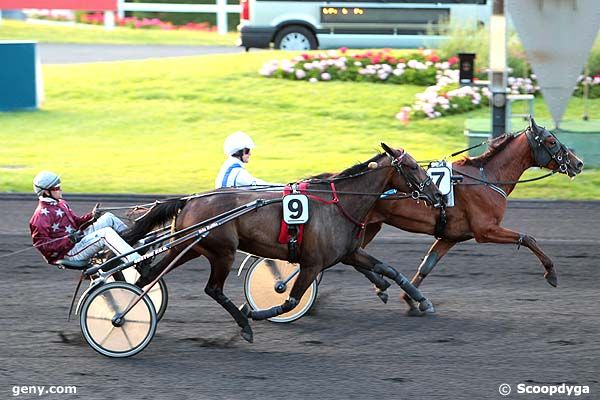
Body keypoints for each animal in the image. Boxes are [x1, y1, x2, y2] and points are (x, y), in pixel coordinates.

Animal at [124, 144, 442, 340]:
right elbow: (289, 299)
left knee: (150, 275)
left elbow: (390, 270)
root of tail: (189, 200)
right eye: (412, 166)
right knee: (213, 289)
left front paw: (420, 300)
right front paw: (254, 311)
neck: (339, 203)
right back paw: (242, 325)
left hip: (189, 247)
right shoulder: (312, 264)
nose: (437, 195)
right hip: (222, 252)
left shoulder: (349, 252)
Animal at [358, 119, 584, 316]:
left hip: (371, 226)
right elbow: (528, 238)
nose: (578, 163)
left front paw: (412, 300)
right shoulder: (486, 230)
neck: (487, 179)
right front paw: (551, 273)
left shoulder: (450, 236)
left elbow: (428, 264)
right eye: (551, 141)